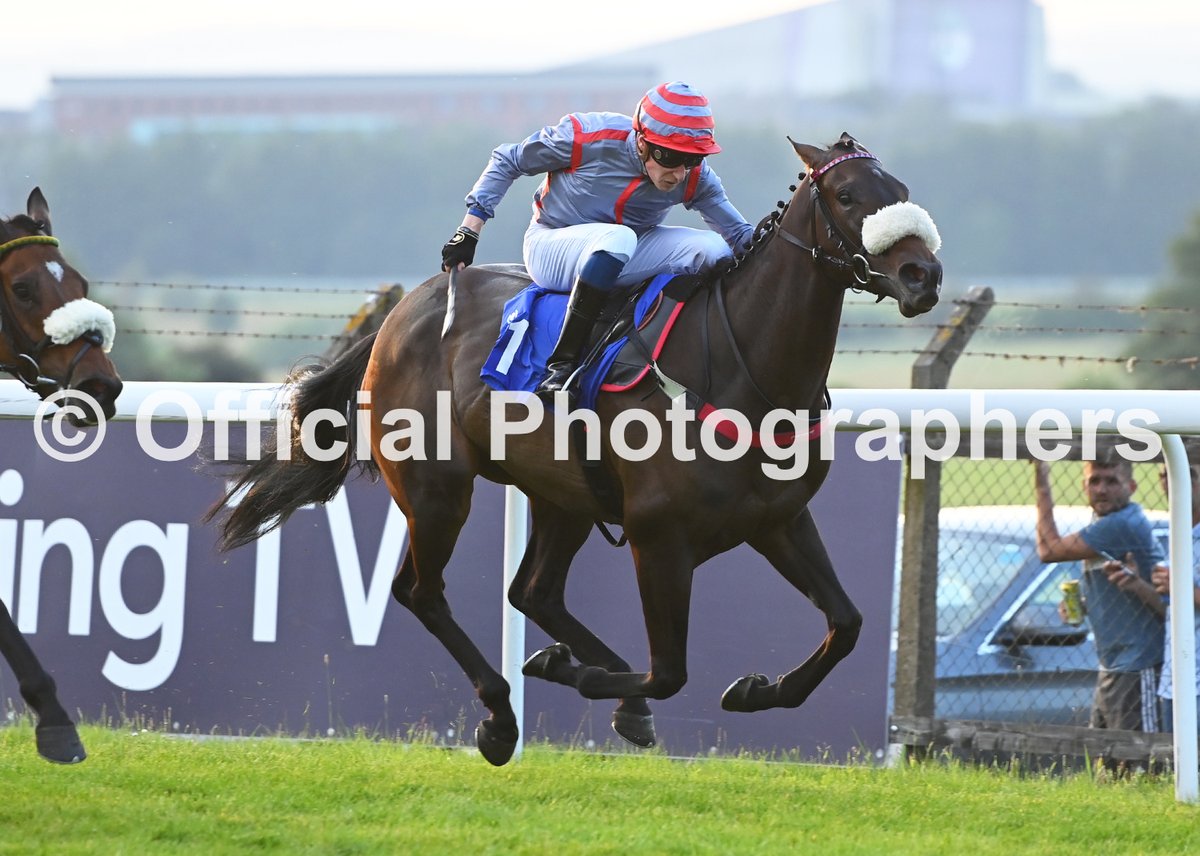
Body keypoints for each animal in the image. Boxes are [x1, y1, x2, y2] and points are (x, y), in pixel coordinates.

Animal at [218, 133, 945, 763]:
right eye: (847, 196)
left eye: (902, 189)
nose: (923, 274)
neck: (742, 367)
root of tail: (402, 313)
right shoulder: (660, 537)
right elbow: (669, 672)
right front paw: (578, 675)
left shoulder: (779, 520)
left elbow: (847, 623)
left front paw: (754, 690)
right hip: (436, 487)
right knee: (422, 592)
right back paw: (502, 713)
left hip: (562, 494)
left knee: (533, 591)